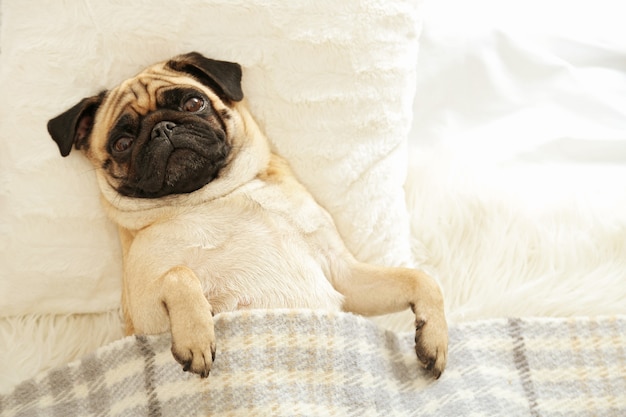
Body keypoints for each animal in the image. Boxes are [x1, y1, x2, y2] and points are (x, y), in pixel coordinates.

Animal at [47, 51, 448, 376]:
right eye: (122, 143)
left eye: (194, 103)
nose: (163, 128)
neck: (218, 194)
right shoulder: (145, 316)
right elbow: (179, 275)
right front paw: (196, 337)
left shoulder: (345, 278)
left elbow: (421, 279)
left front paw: (436, 338)